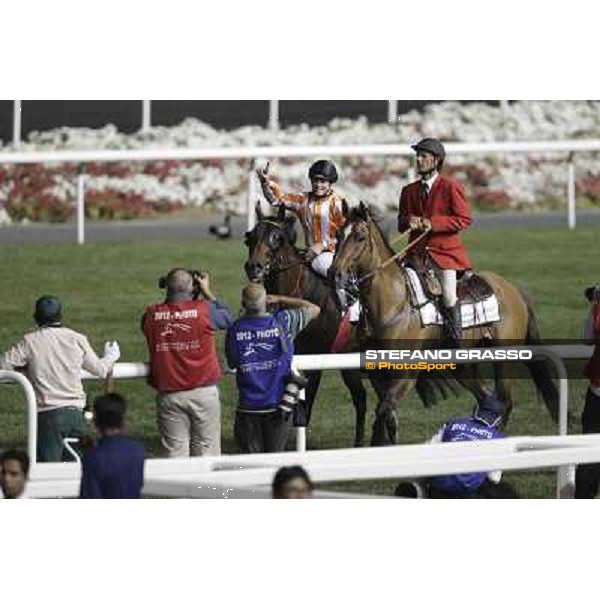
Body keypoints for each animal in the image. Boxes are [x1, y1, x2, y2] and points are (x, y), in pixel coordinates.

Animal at [244, 203, 454, 446]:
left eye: (277, 238)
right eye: (250, 237)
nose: (254, 267)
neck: (306, 292)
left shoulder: (317, 356)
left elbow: (307, 405)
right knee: (364, 400)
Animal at [328, 202, 556, 446]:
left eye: (360, 237)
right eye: (338, 234)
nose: (335, 274)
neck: (395, 304)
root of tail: (513, 290)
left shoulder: (405, 374)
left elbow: (383, 410)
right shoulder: (377, 374)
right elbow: (387, 416)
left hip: (504, 360)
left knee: (504, 403)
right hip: (463, 365)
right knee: (486, 396)